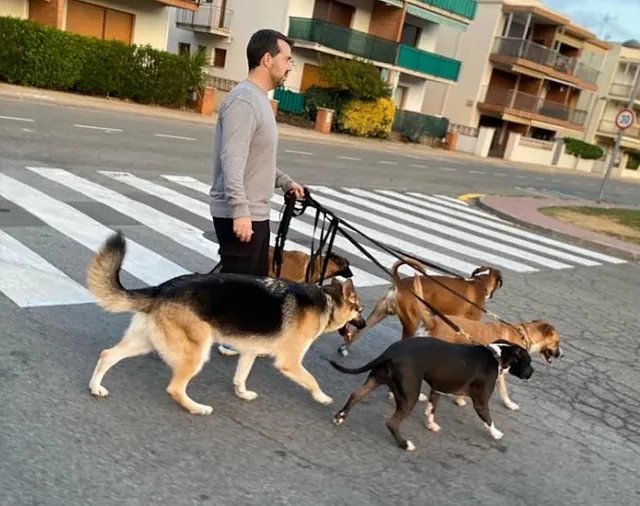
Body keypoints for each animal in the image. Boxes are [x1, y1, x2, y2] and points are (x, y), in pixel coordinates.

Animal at [330, 336, 536, 450]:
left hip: (376, 378)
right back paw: (405, 445)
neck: (496, 356)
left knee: (355, 395)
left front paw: (430, 424)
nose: (532, 372)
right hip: (410, 395)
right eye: (529, 362)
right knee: (392, 422)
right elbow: (488, 419)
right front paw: (496, 434)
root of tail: (391, 352)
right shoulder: (481, 400)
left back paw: (340, 417)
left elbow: (431, 408)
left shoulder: (437, 388)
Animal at [338, 256, 502, 356]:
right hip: (411, 324)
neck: (479, 282)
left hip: (378, 313)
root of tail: (400, 283)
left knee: (357, 332)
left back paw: (344, 348)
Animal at [422, 316, 564, 412]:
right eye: (557, 342)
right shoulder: (498, 373)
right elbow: (503, 391)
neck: (524, 335)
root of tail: (432, 322)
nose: (562, 355)